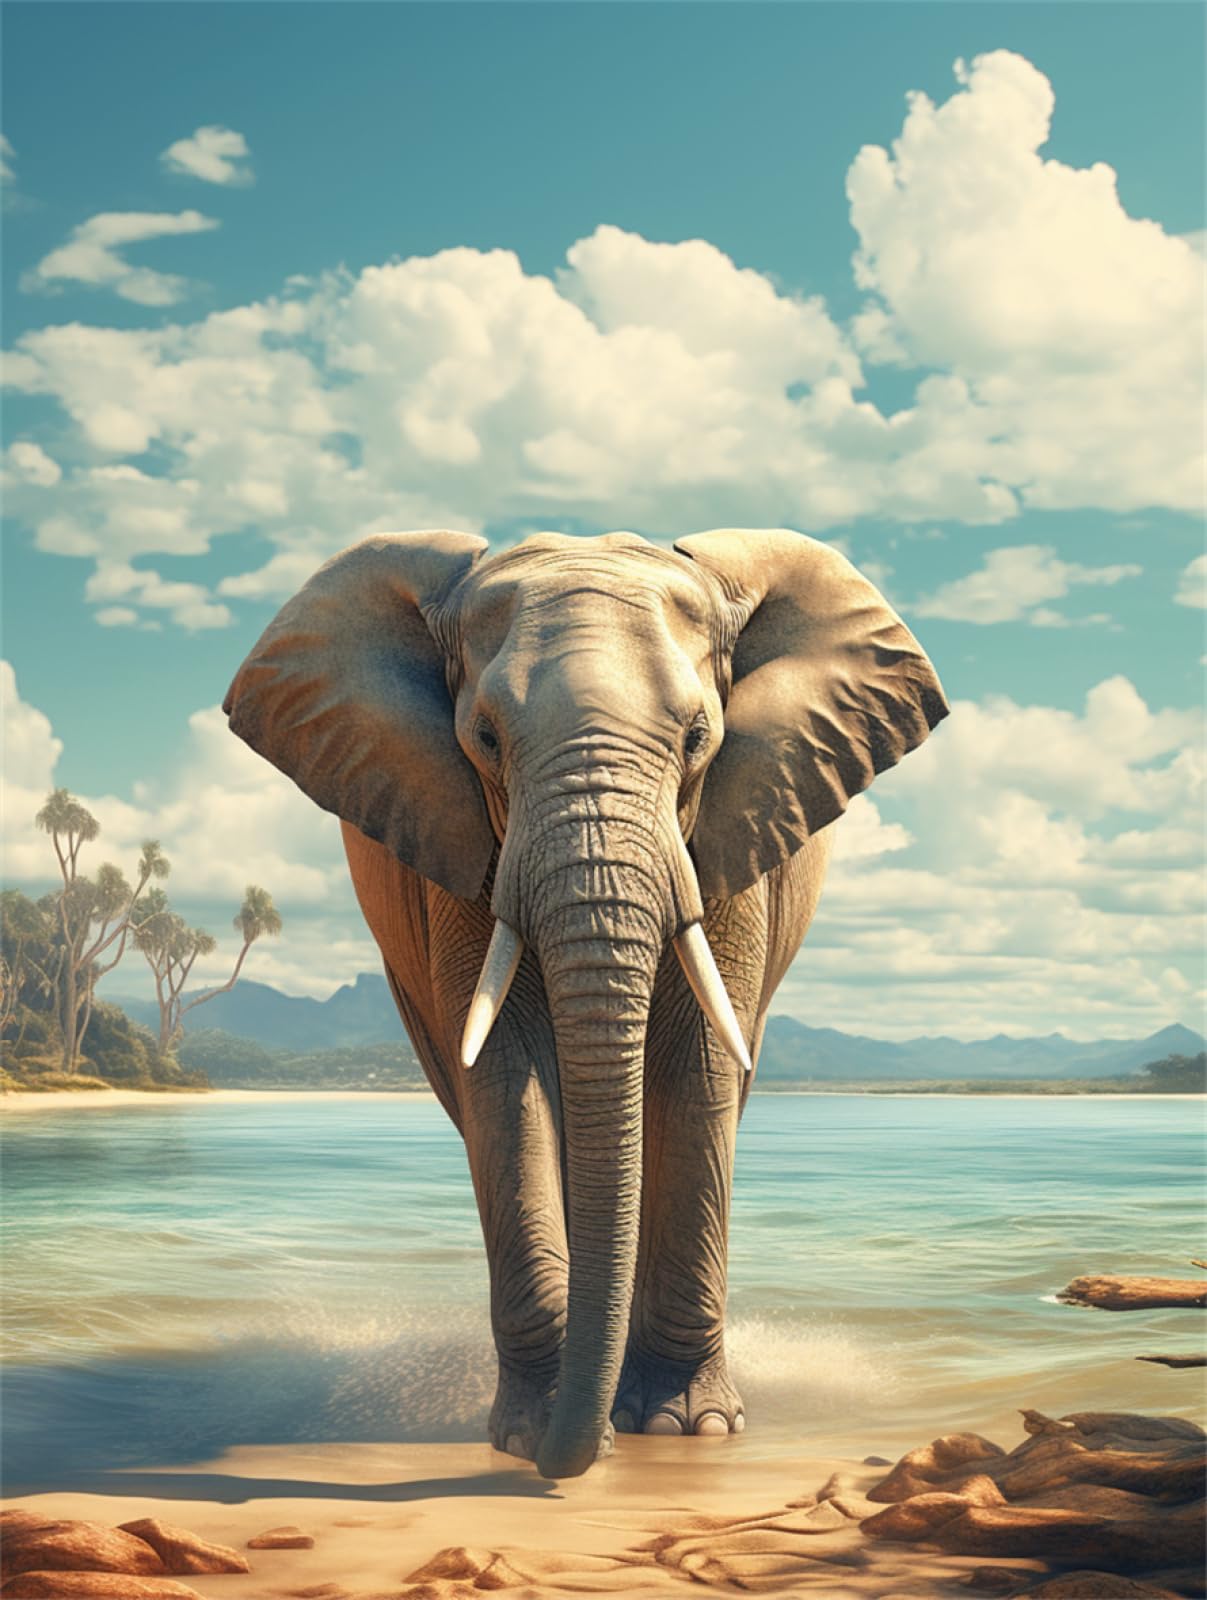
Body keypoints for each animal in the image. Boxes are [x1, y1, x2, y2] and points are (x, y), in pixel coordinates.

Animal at [223, 527, 947, 1480]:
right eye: (484, 738)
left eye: (697, 739)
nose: (568, 1459)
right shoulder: (457, 845)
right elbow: (504, 1075)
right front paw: (533, 1435)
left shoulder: (733, 833)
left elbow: (697, 1067)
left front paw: (684, 1430)